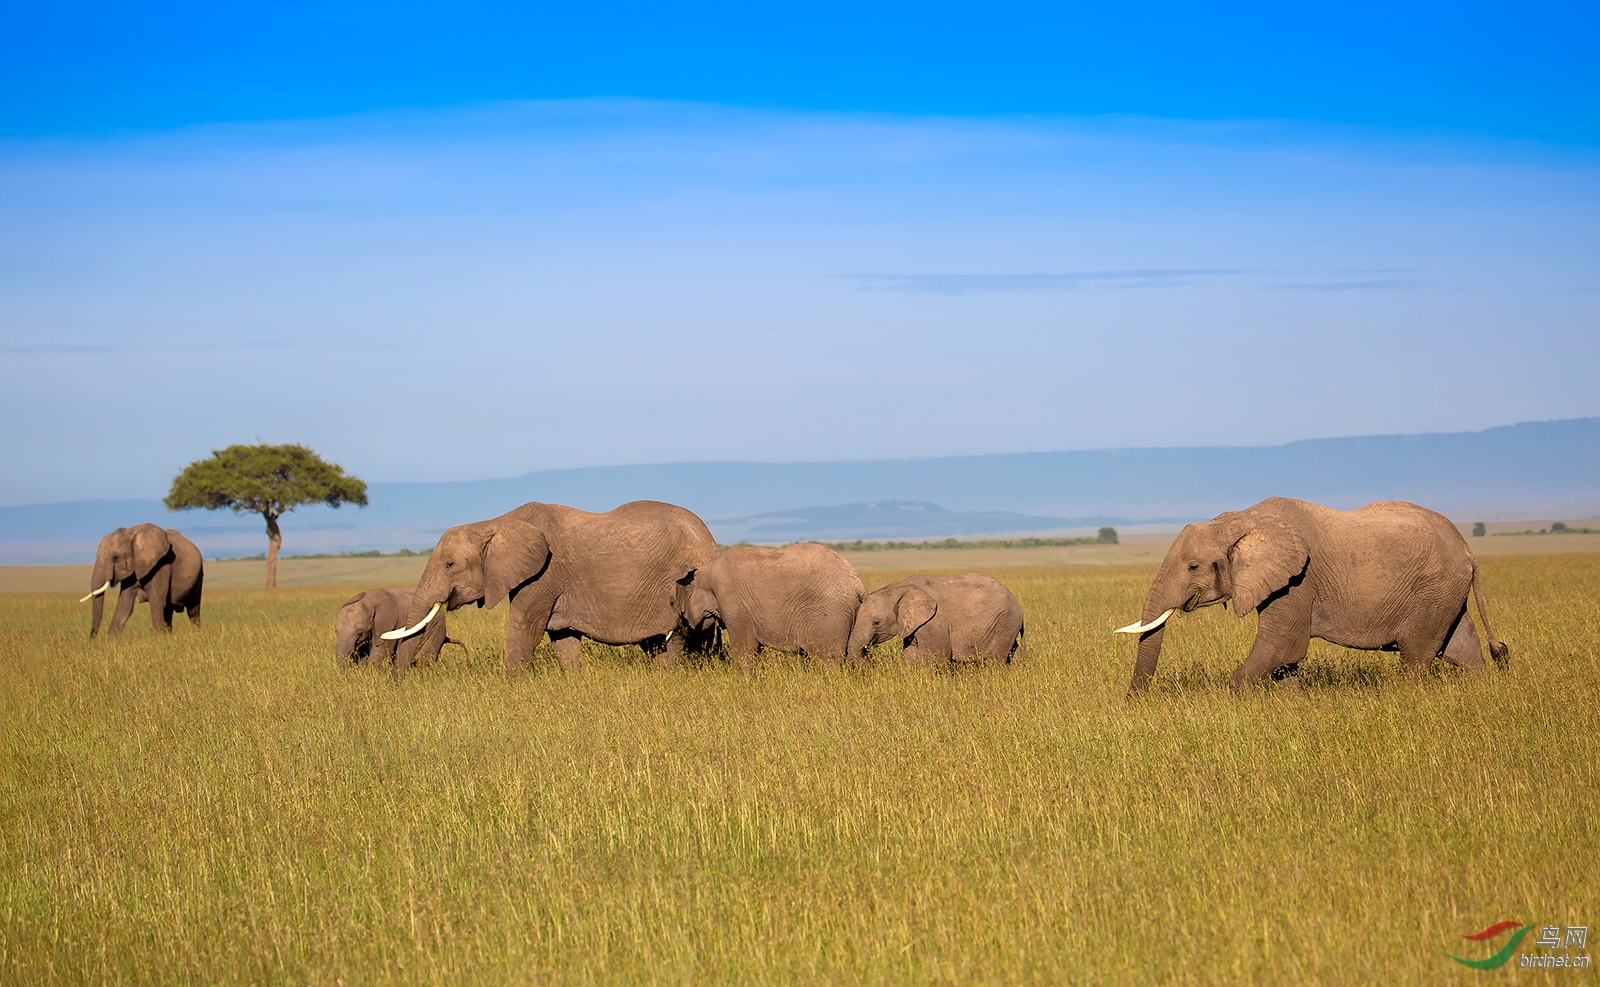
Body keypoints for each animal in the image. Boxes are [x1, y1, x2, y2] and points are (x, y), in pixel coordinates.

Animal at [336, 585, 464, 668]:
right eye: (336, 632)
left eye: (359, 633)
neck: (369, 602)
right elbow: (364, 654)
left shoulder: (390, 624)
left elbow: (380, 653)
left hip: (436, 628)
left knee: (424, 659)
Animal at [380, 499, 713, 668]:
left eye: (449, 565)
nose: (400, 680)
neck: (497, 522)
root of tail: (708, 537)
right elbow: (562, 638)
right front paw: (575, 681)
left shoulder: (544, 575)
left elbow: (525, 628)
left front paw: (513, 684)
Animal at [681, 537, 870, 668]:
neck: (705, 570)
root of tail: (858, 583)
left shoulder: (731, 601)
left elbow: (745, 647)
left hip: (829, 616)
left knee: (827, 659)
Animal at [851, 569, 1024, 662]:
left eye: (876, 622)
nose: (867, 652)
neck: (899, 588)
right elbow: (911, 653)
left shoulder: (934, 621)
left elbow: (937, 656)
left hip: (1004, 623)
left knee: (995, 660)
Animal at [1120, 492, 1504, 694]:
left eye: (1193, 567)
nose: (1134, 701)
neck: (1240, 519)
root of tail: (1468, 550)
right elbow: (1284, 658)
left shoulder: (1298, 580)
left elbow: (1281, 646)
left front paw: (1230, 698)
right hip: (1444, 592)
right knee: (1462, 647)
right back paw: (1481, 687)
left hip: (1433, 589)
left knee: (1415, 657)